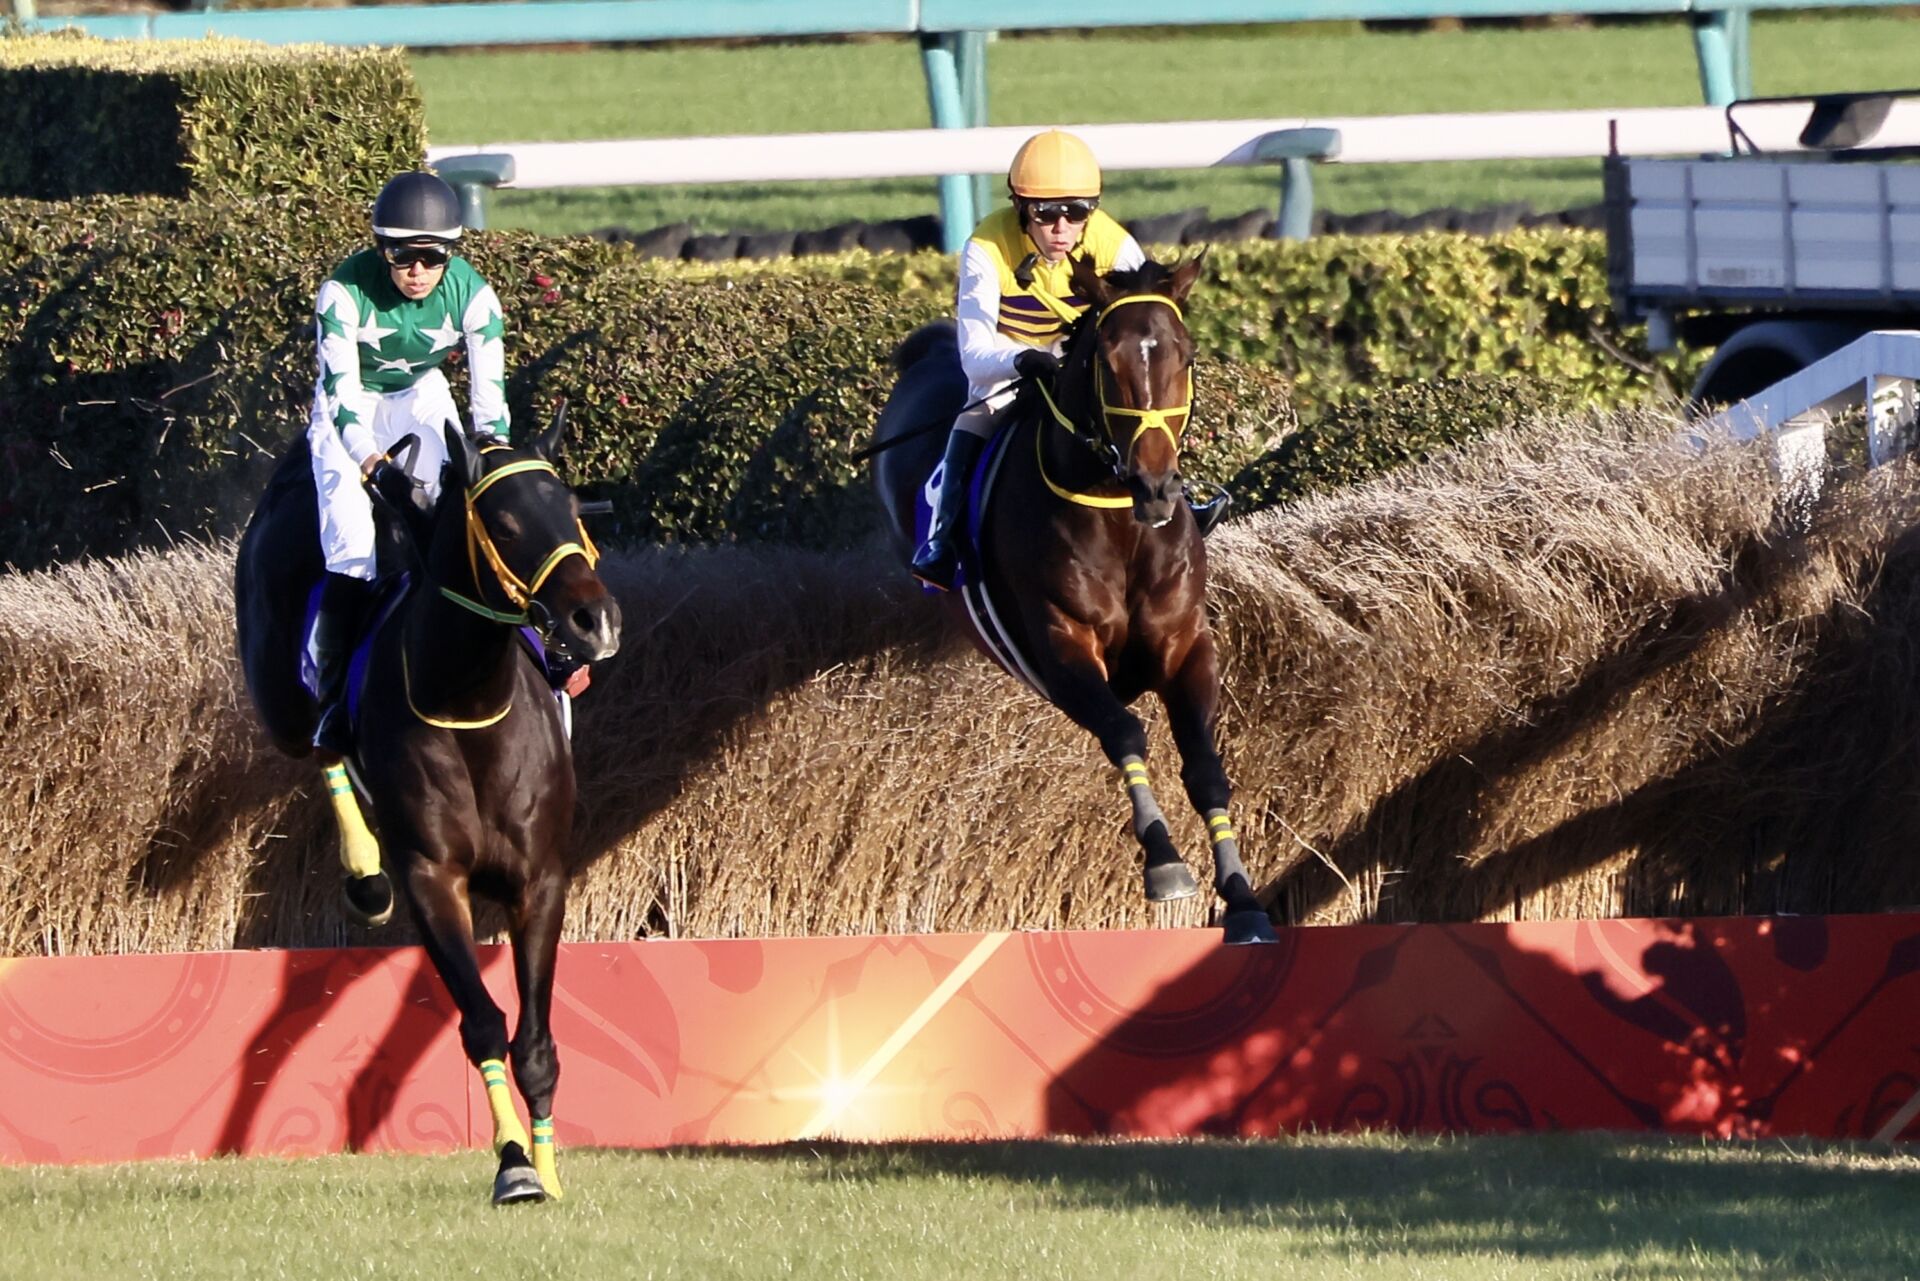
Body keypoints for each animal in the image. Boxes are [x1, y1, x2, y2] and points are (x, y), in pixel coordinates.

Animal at [234, 410, 622, 1203]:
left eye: (571, 508)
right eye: (504, 521)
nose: (593, 619)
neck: (469, 701)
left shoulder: (540, 880)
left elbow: (535, 1040)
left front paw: (548, 1167)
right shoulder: (433, 877)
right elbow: (481, 1022)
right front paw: (514, 1164)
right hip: (280, 700)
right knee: (317, 746)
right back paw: (363, 875)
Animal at [871, 254, 1278, 946]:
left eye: (1187, 354)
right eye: (1106, 362)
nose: (1156, 485)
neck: (1119, 523)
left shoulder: (1186, 645)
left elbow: (1204, 765)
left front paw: (1244, 898)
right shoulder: (1061, 650)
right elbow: (1123, 730)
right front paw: (1165, 862)